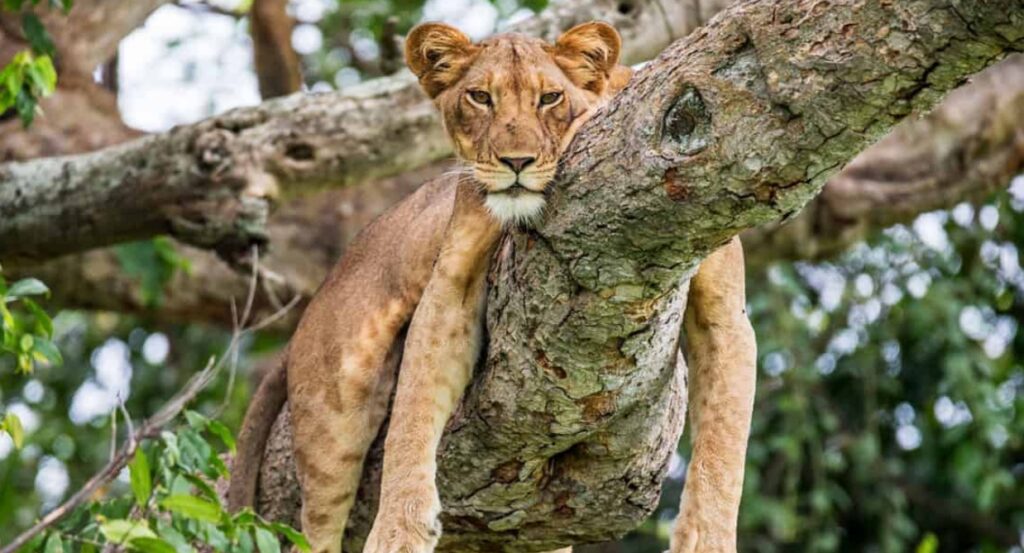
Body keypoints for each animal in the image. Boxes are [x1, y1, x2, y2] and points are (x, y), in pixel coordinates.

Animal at [227, 21, 756, 553]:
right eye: (480, 97)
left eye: (550, 98)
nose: (516, 161)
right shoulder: (451, 283)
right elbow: (412, 414)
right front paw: (399, 528)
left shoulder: (724, 315)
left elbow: (723, 446)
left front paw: (708, 539)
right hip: (334, 412)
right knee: (317, 523)